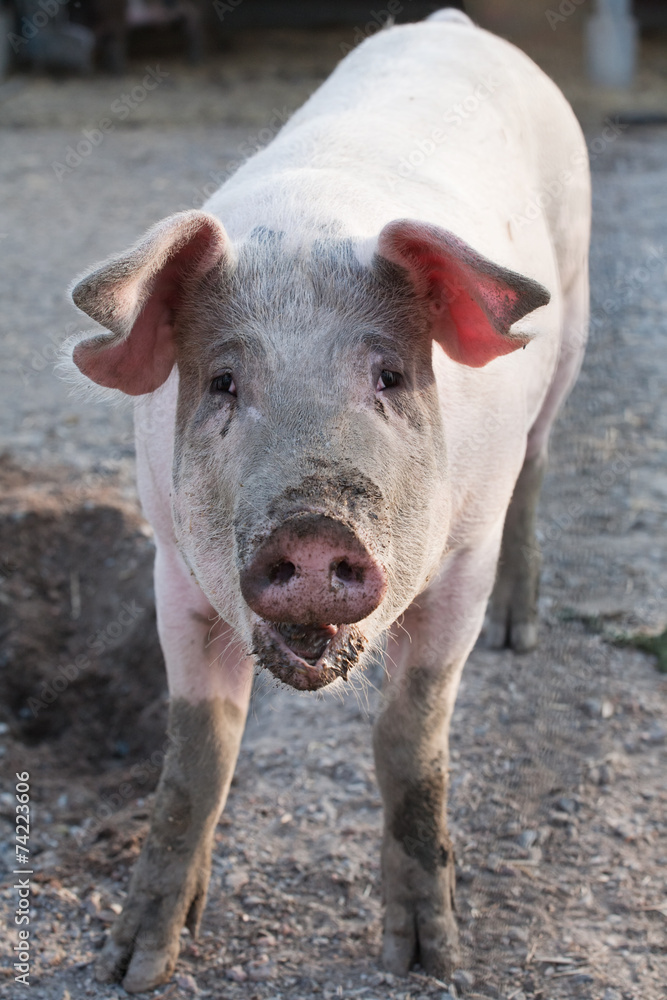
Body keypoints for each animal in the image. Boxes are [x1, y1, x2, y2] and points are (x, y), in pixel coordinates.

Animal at [67, 8, 590, 993]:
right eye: (223, 381)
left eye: (388, 376)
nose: (312, 527)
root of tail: (452, 23)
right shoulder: (170, 564)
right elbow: (197, 757)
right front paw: (131, 964)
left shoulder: (459, 563)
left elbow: (410, 742)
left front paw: (427, 959)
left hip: (568, 324)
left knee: (537, 469)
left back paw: (520, 634)